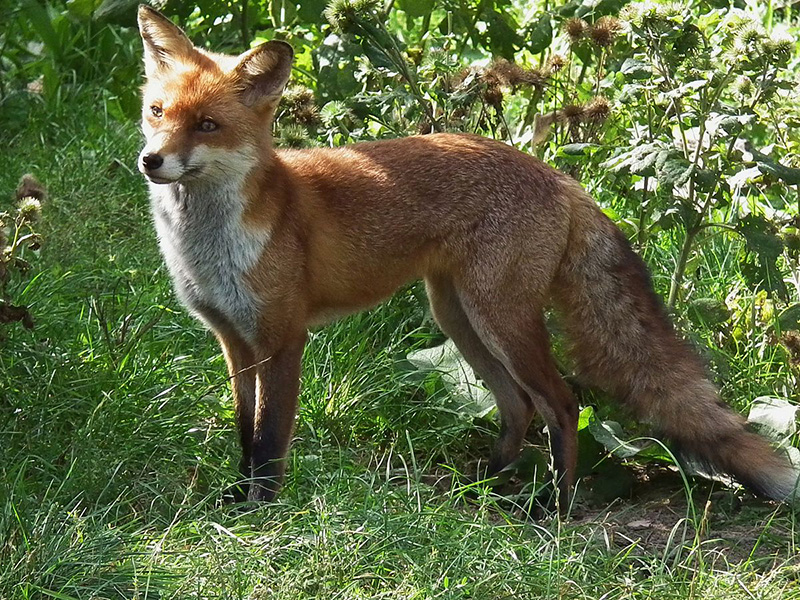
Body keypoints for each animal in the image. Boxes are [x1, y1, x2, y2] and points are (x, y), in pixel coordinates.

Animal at [134, 5, 796, 506]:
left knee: (562, 403)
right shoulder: (234, 341)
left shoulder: (282, 337)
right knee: (517, 406)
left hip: (498, 317)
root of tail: (562, 178)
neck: (209, 244)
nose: (150, 161)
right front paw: (235, 500)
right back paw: (488, 485)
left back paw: (553, 508)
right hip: (458, 317)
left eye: (208, 125)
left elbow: (270, 440)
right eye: (157, 113)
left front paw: (263, 514)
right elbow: (245, 433)